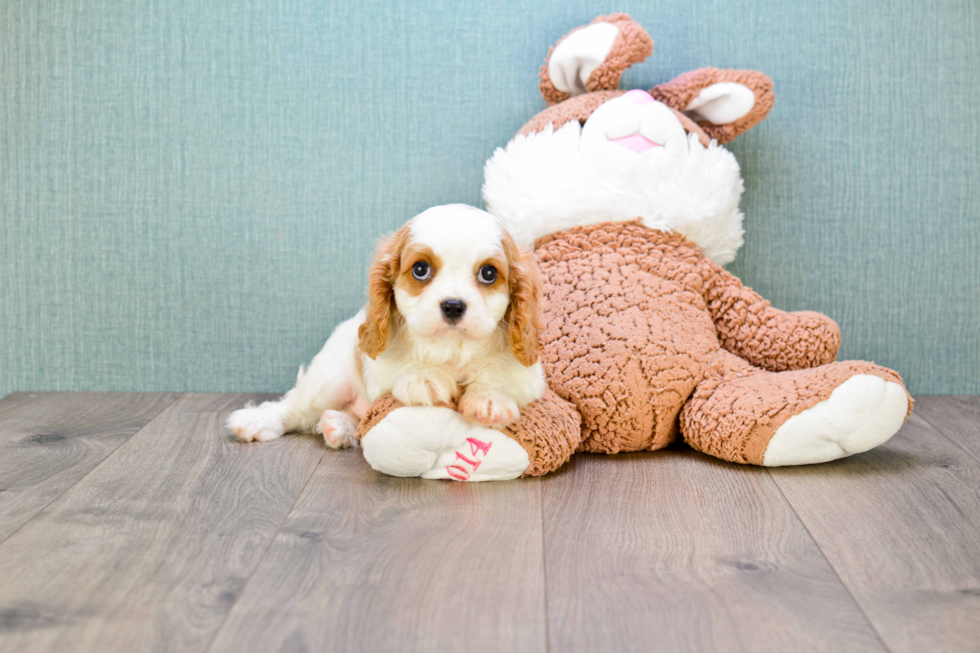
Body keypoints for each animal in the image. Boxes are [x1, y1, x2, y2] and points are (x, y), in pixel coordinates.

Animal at [231, 204, 552, 448]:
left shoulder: (529, 376)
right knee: (296, 407)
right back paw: (259, 421)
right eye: (420, 269)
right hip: (331, 379)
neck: (450, 348)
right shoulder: (376, 364)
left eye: (488, 273)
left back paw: (337, 427)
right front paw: (423, 377)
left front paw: (489, 397)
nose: (453, 305)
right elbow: (401, 366)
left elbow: (501, 372)